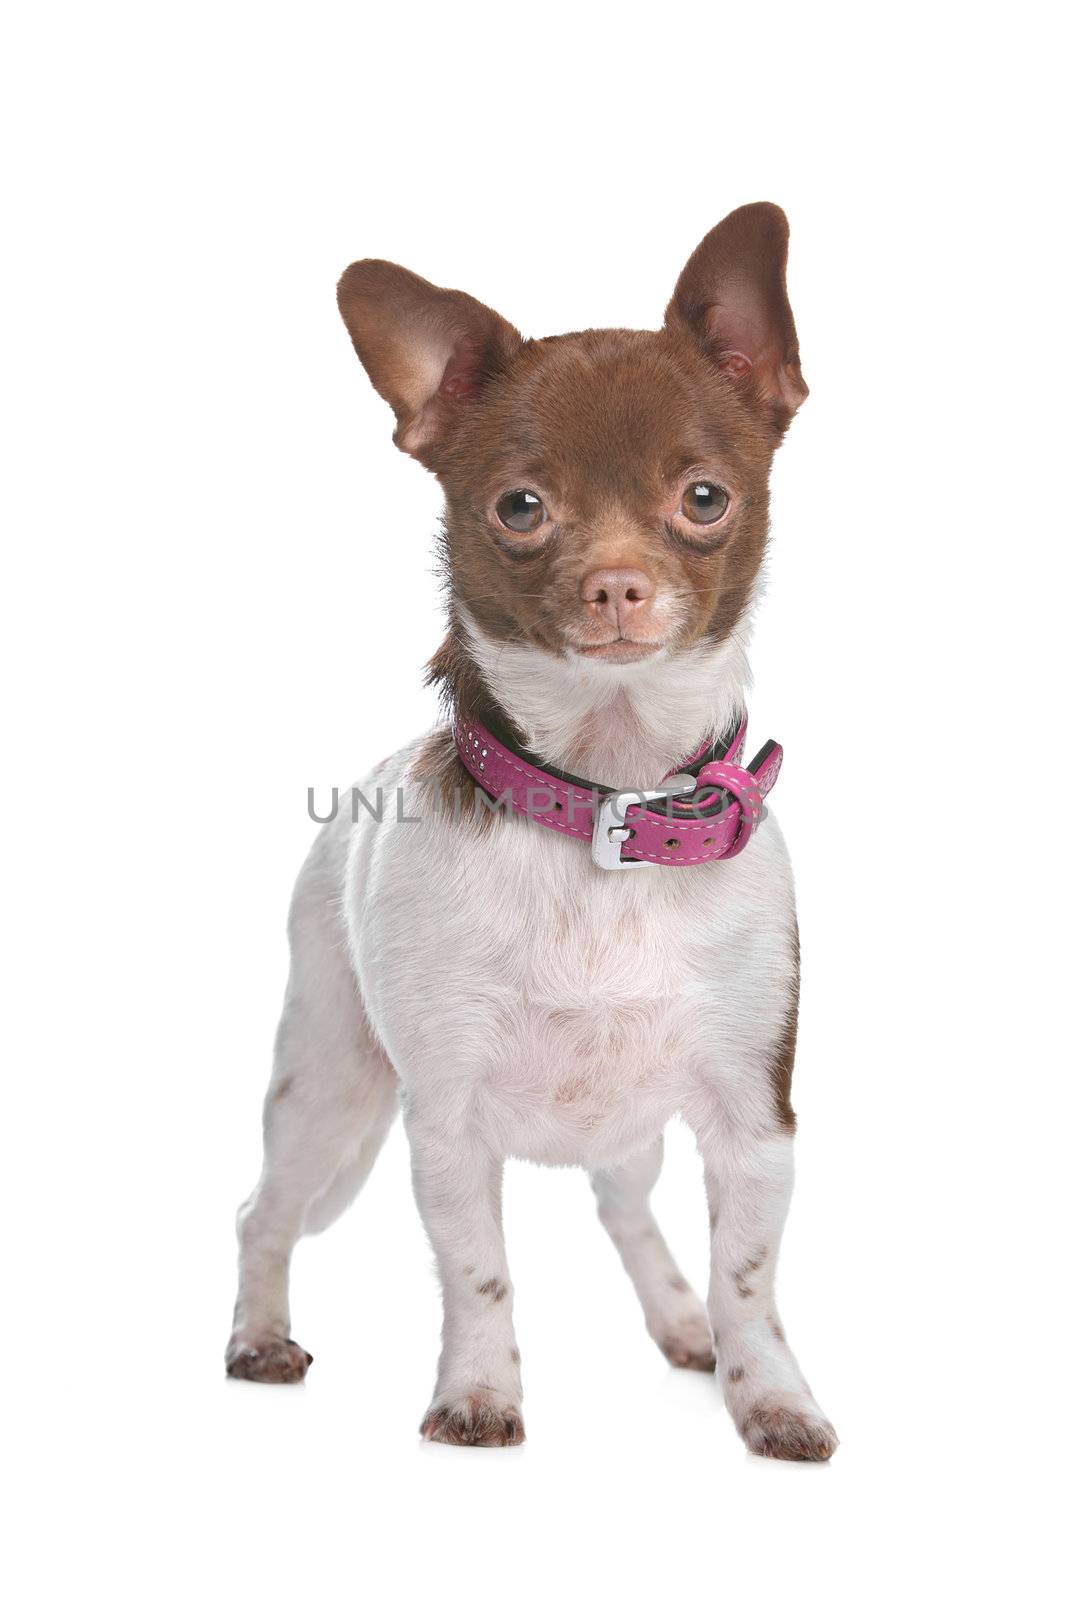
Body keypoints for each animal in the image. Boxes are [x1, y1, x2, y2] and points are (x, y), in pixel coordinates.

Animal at [230, 203, 838, 1465]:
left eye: (703, 498)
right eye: (520, 509)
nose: (615, 584)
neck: (604, 801)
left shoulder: (754, 1120)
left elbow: (750, 1277)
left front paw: (769, 1395)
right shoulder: (445, 1125)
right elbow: (478, 1274)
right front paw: (477, 1395)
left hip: (626, 1121)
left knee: (626, 1205)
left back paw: (679, 1319)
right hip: (328, 1087)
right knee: (263, 1212)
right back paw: (256, 1336)